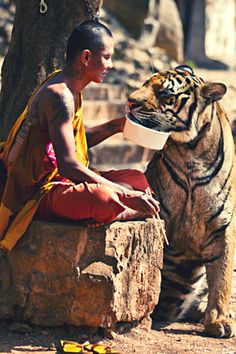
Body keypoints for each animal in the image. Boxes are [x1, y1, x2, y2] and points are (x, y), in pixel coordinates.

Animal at [126, 65, 235, 338]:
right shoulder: (162, 215)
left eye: (165, 94)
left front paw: (219, 321)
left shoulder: (222, 225)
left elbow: (222, 278)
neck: (190, 151)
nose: (129, 101)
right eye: (144, 84)